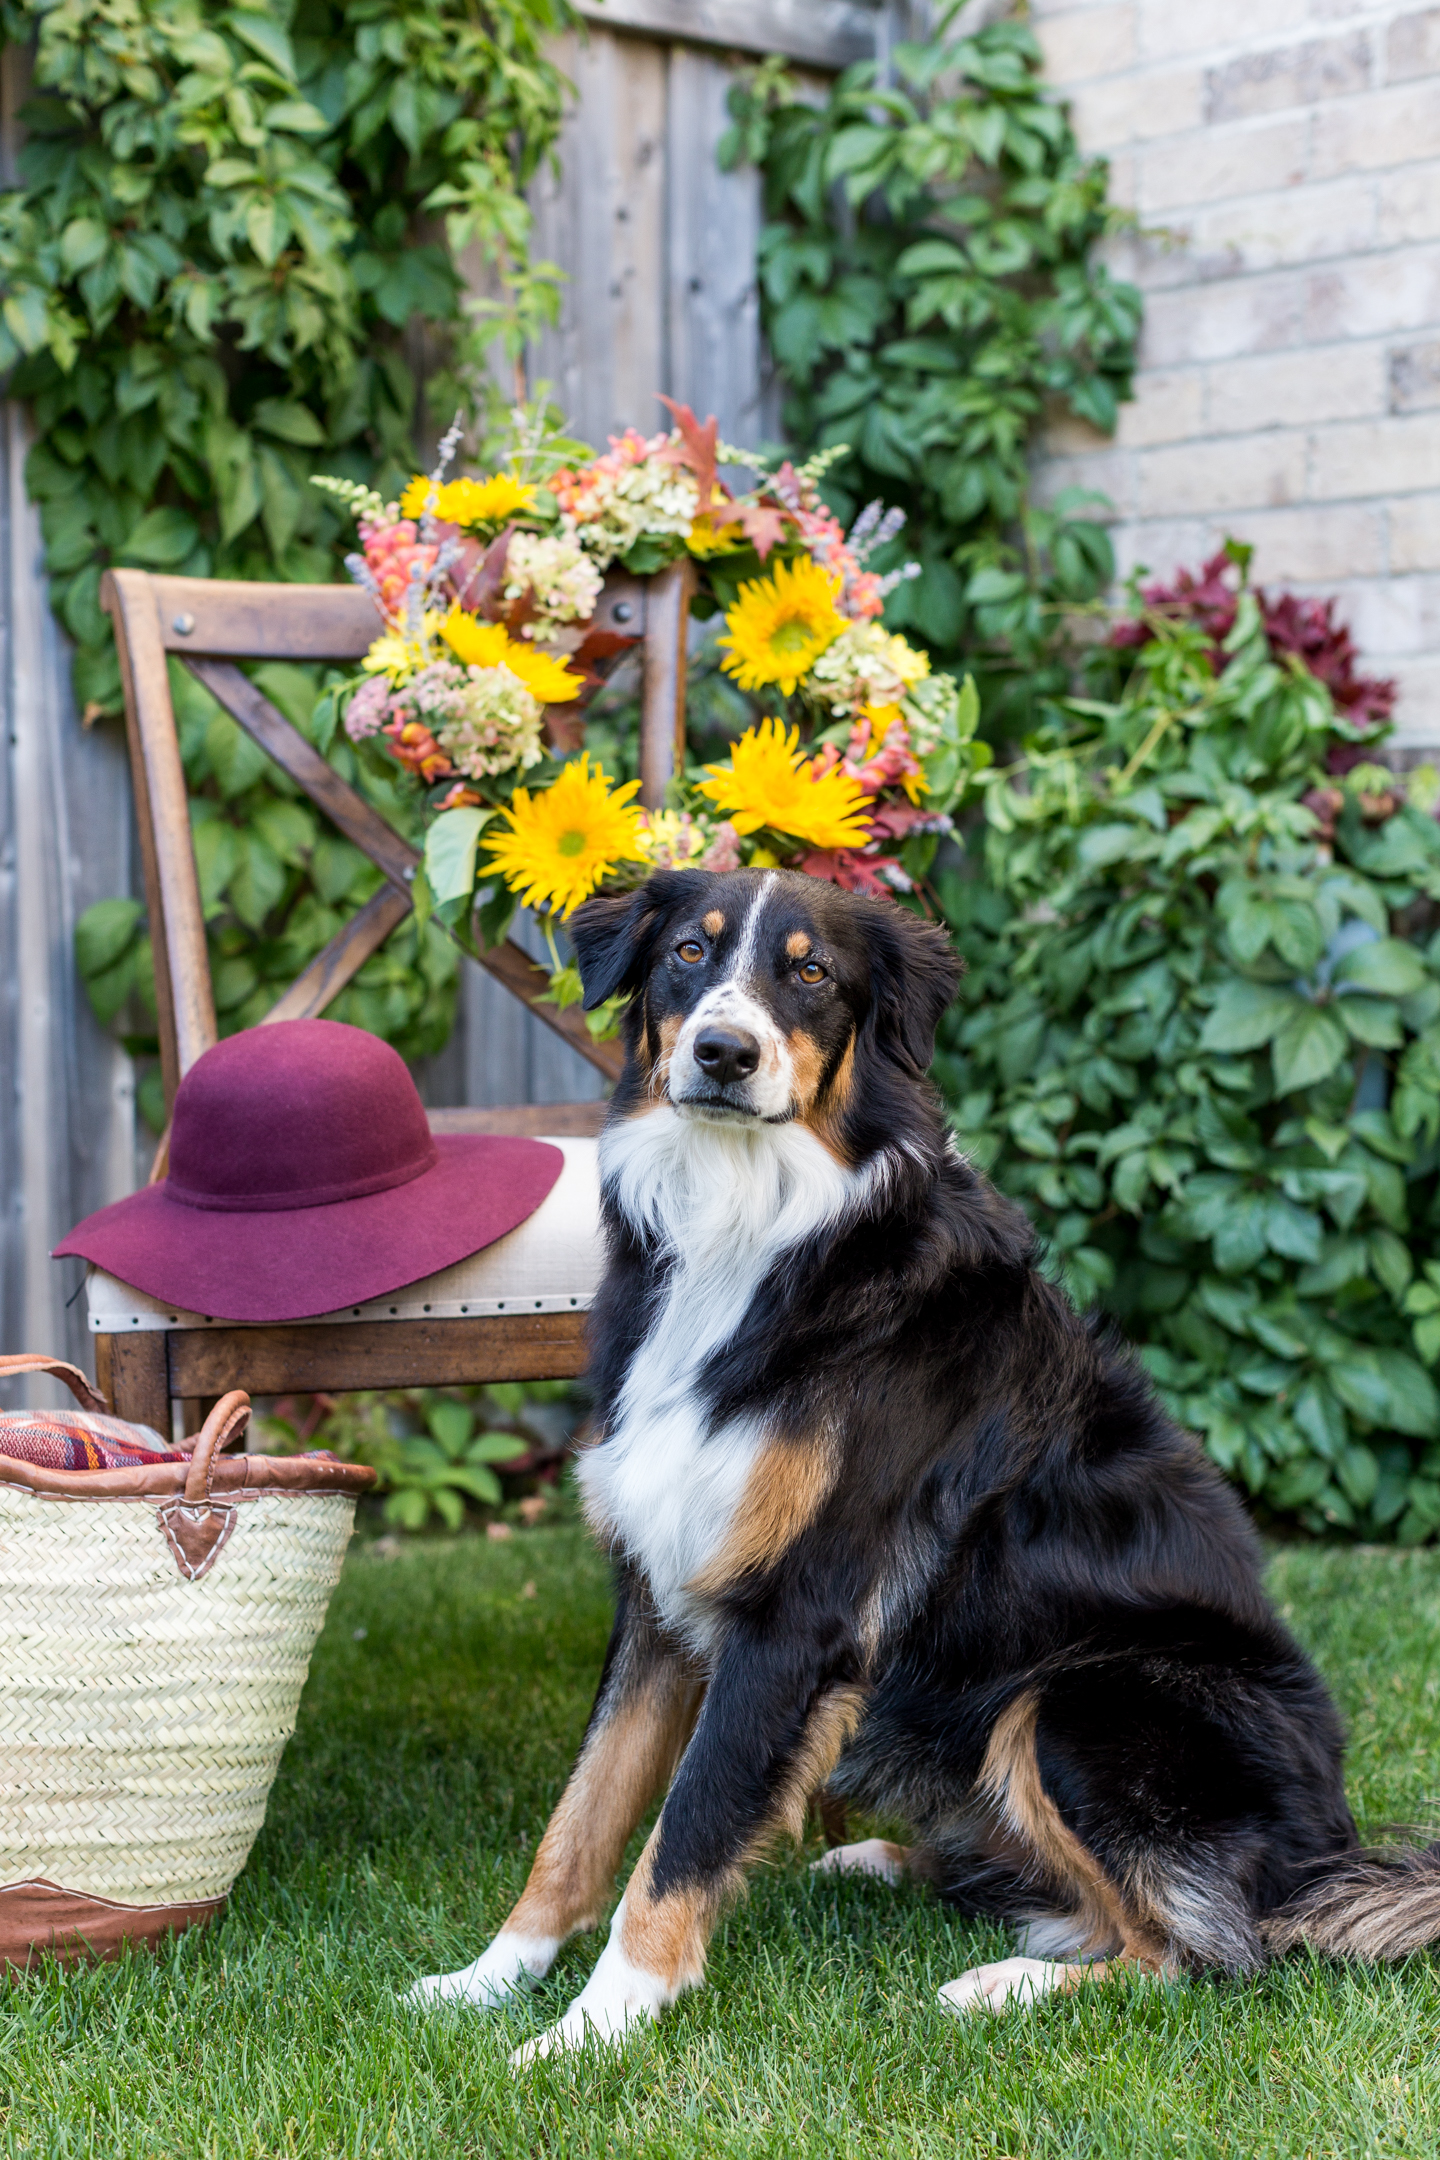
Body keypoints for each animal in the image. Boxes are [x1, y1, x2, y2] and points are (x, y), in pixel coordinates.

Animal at [410, 859, 1440, 2056]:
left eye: (811, 972)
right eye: (688, 953)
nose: (723, 1053)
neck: (746, 1227)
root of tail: (1329, 1851)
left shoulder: (797, 1613)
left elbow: (683, 1831)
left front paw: (595, 2028)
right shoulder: (657, 1601)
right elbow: (579, 1820)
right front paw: (487, 1979)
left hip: (1071, 1700)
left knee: (1204, 1952)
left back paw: (1001, 1983)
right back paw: (887, 1864)